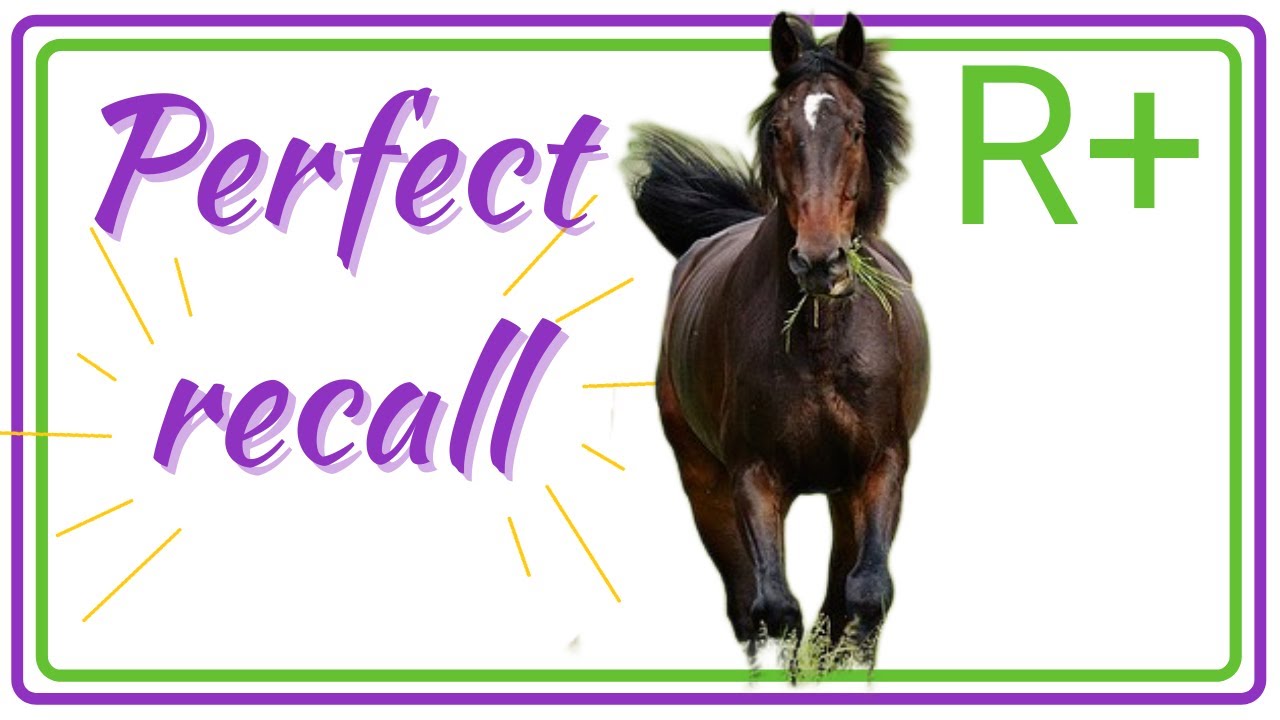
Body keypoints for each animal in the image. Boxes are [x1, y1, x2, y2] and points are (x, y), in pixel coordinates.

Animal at [625, 12, 928, 663]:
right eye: (778, 129)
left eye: (857, 128)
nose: (819, 262)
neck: (820, 348)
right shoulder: (753, 476)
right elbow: (774, 608)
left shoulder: (882, 464)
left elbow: (864, 597)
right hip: (704, 483)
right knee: (747, 606)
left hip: (843, 492)